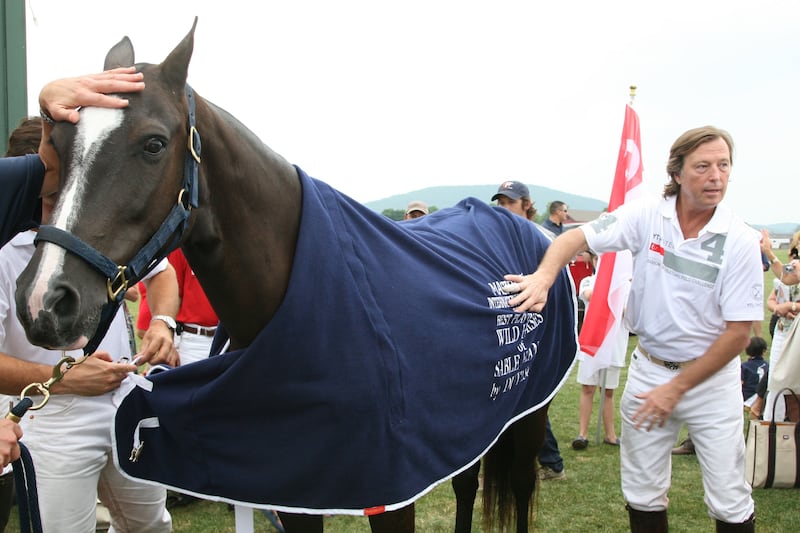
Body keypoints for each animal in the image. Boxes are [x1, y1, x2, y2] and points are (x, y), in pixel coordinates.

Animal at [14, 18, 576, 528]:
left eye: (153, 143)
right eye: (56, 142)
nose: (44, 299)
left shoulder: (394, 490)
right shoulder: (296, 489)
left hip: (528, 414)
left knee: (517, 488)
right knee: (465, 485)